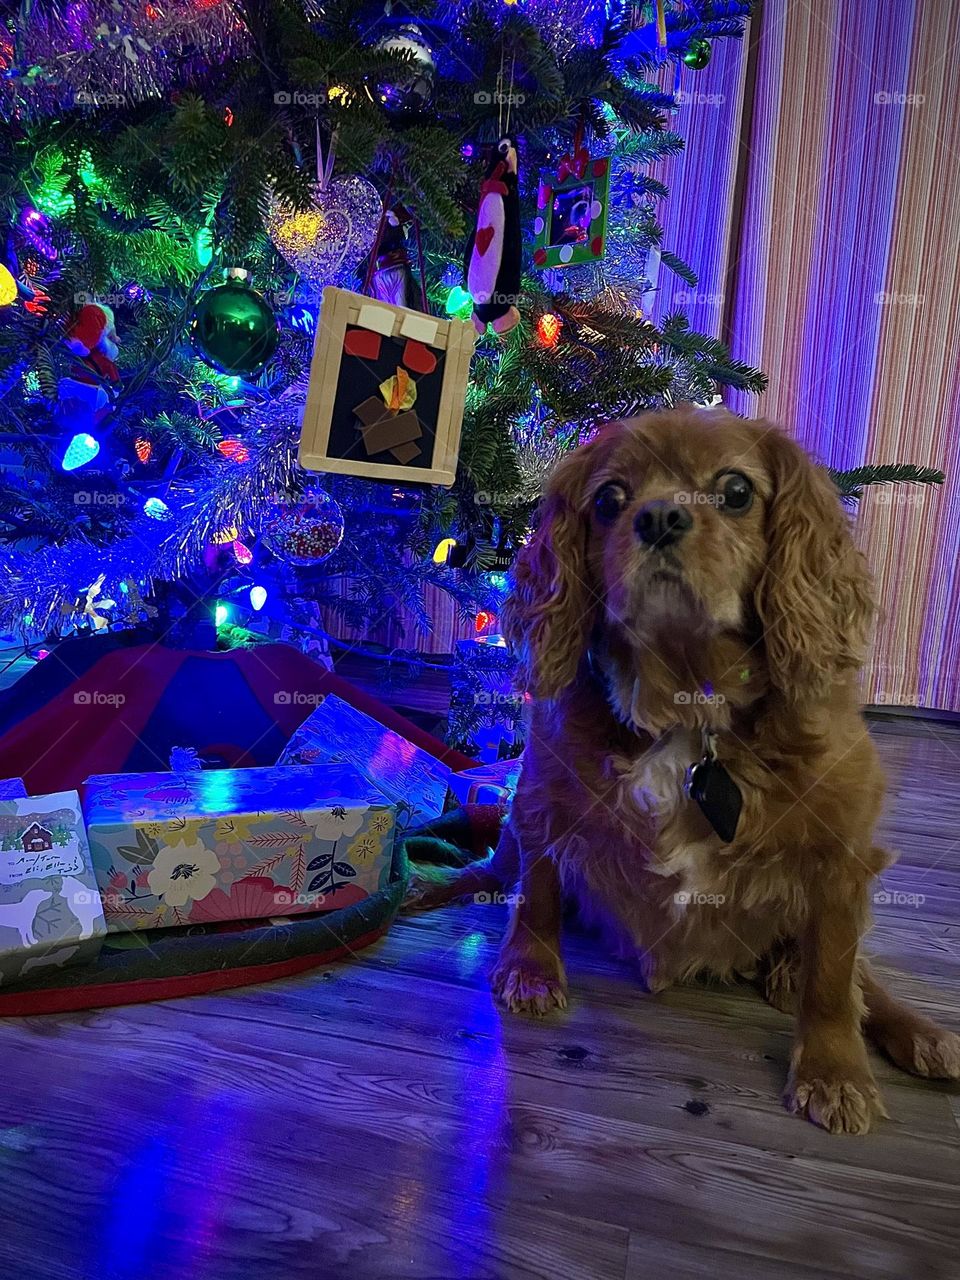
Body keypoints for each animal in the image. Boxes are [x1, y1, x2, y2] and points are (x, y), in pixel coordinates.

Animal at [409, 407, 957, 1131]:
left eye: (736, 491)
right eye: (608, 499)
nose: (660, 517)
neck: (687, 707)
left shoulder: (843, 854)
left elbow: (835, 980)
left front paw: (835, 1073)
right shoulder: (540, 802)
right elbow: (539, 893)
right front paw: (532, 970)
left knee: (861, 978)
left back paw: (913, 1031)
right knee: (495, 873)